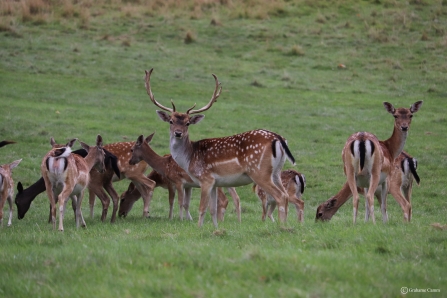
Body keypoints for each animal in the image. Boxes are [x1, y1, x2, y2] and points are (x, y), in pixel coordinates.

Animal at [145, 68, 296, 228]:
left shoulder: (205, 178)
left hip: (259, 171)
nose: (178, 133)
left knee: (280, 196)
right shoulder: (215, 182)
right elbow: (213, 208)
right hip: (276, 172)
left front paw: (199, 227)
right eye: (171, 121)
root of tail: (279, 138)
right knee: (286, 195)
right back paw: (286, 225)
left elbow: (202, 208)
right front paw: (215, 228)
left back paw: (282, 226)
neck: (189, 158)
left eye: (187, 123)